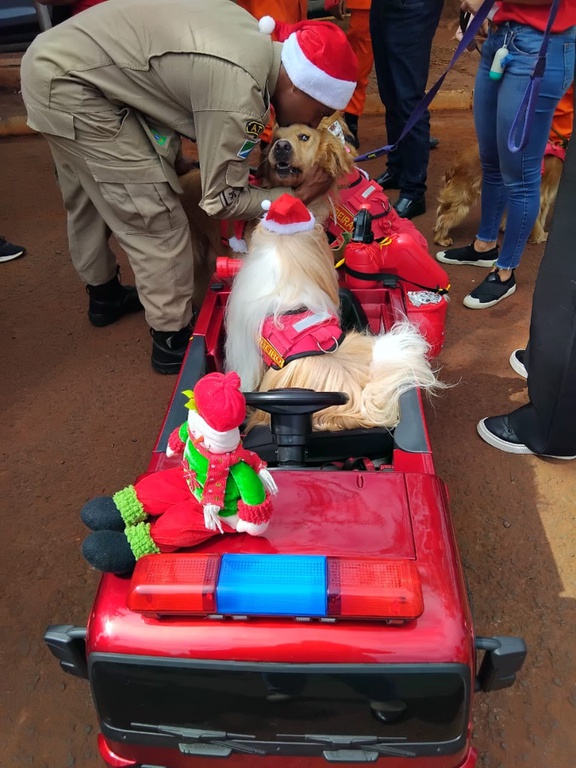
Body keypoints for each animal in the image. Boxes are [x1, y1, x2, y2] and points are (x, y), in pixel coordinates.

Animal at [432, 145, 564, 249]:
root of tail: (457, 164)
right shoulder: (540, 195)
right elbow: (539, 220)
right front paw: (540, 236)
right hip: (465, 196)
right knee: (444, 218)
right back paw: (441, 239)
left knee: (441, 211)